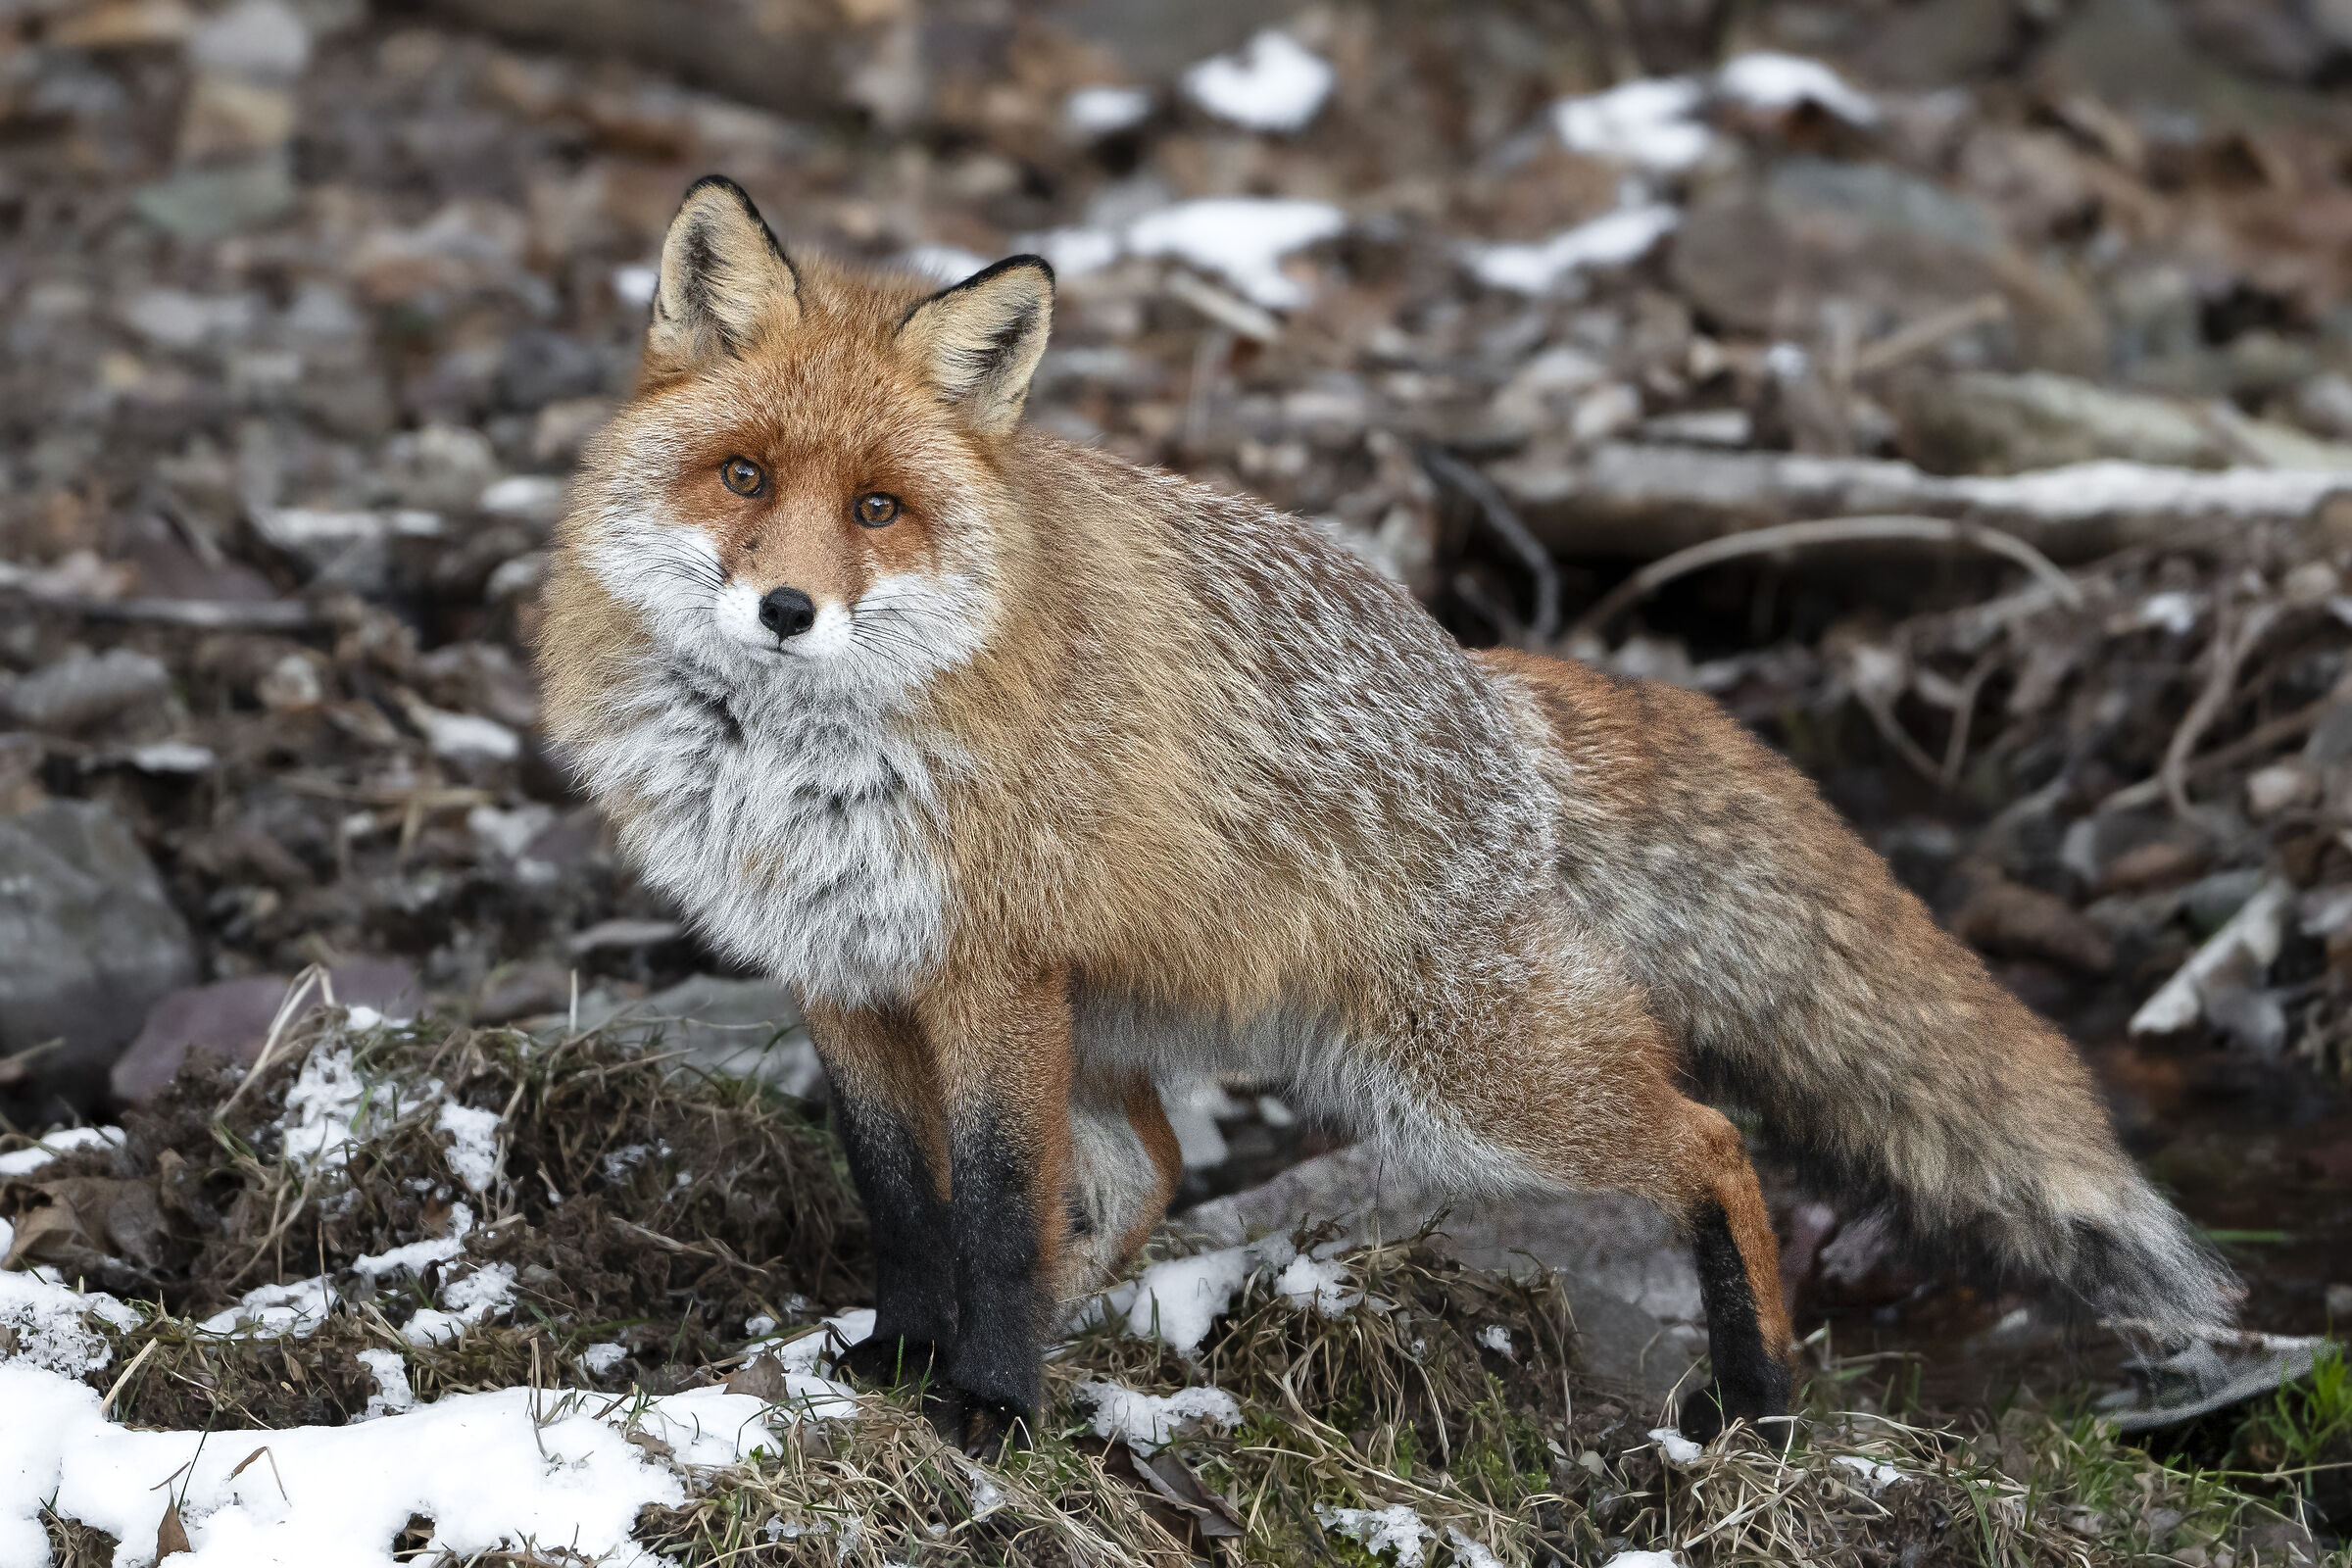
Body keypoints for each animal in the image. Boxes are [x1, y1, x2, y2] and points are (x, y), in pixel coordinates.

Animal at [534, 175, 2238, 1456]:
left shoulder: (985, 976)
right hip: (1170, 1035)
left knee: (1710, 1141)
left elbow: (994, 1212)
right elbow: (907, 1205)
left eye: (881, 508)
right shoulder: (842, 977)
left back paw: (1757, 1396)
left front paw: (995, 1409)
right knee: (1155, 1167)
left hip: (1460, 1087)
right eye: (744, 476)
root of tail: (1487, 692)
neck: (795, 769)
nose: (788, 610)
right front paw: (903, 1362)